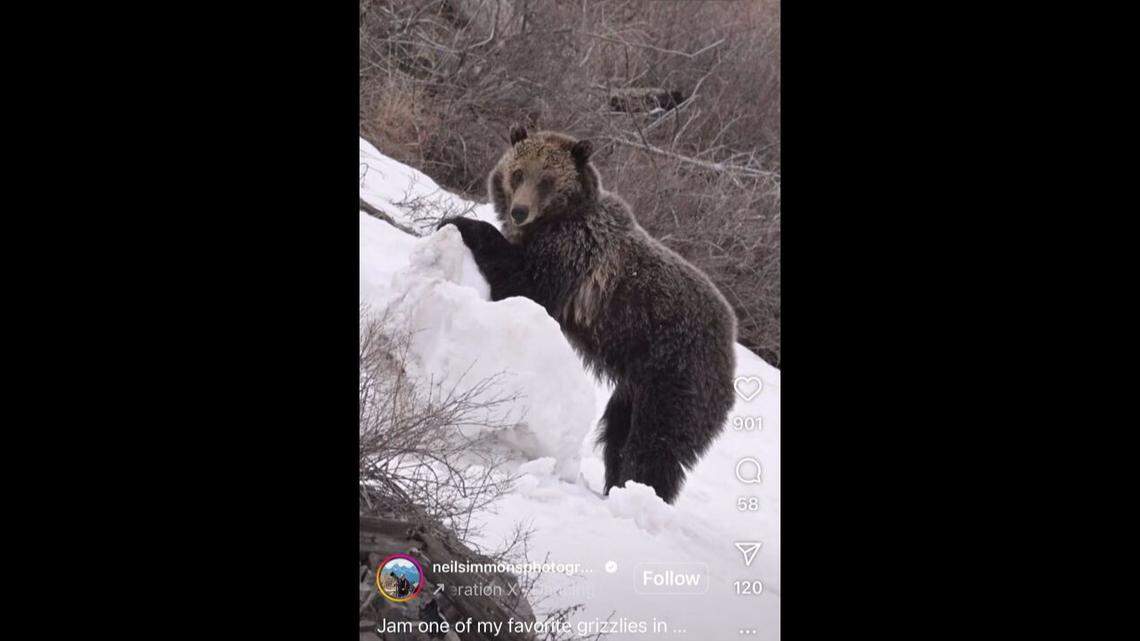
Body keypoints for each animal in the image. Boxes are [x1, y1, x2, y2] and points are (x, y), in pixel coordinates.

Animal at [438, 125, 737, 503]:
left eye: (546, 179)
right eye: (518, 172)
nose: (520, 210)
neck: (554, 221)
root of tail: (731, 346)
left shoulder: (574, 254)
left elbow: (524, 282)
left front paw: (459, 220)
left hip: (676, 374)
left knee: (656, 442)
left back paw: (640, 491)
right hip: (634, 384)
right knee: (617, 432)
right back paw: (614, 486)